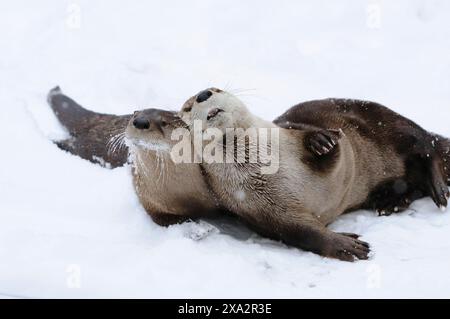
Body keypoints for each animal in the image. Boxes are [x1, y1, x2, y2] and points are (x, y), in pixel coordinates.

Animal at [180, 88, 450, 262]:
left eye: (215, 88)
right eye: (187, 107)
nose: (203, 94)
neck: (261, 166)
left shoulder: (294, 132)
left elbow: (335, 147)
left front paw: (321, 140)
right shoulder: (260, 211)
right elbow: (304, 233)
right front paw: (347, 246)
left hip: (390, 124)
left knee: (425, 146)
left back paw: (438, 190)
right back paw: (389, 201)